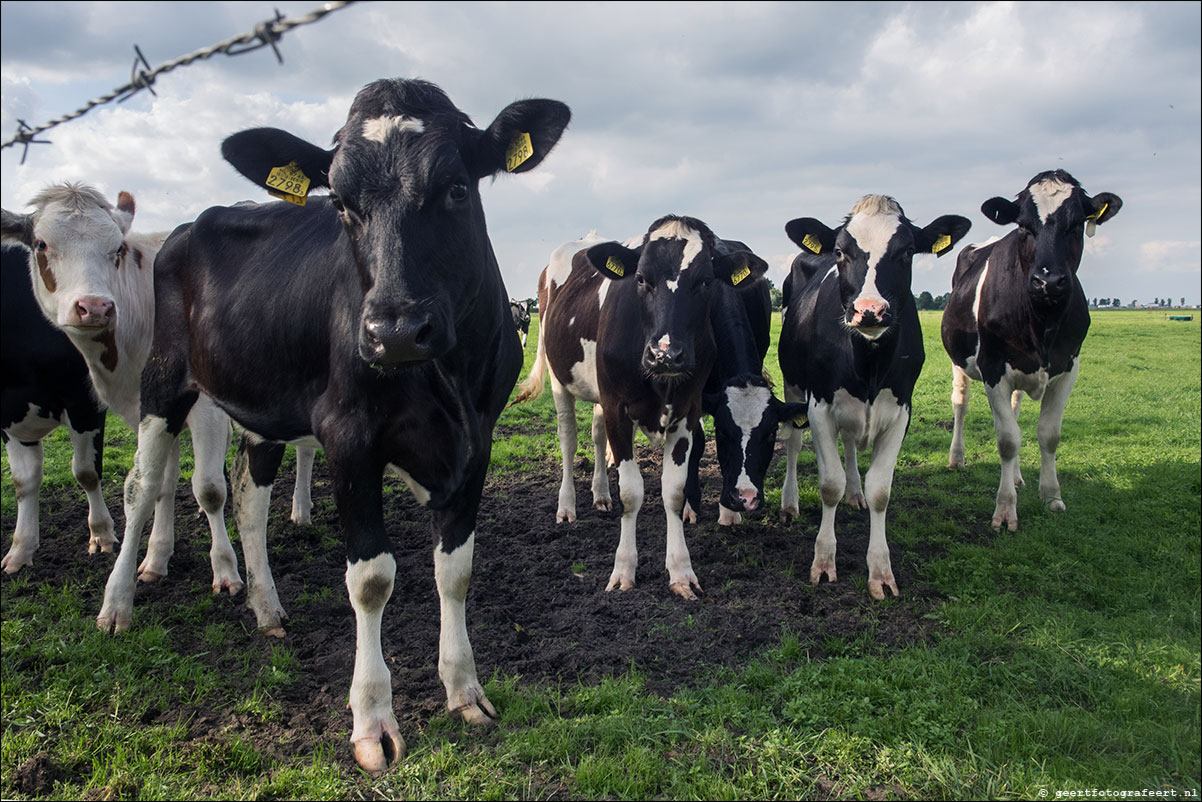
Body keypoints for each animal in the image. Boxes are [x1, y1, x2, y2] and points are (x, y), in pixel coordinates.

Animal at [2, 245, 114, 569]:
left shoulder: (84, 401)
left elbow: (86, 472)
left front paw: (101, 534)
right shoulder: (8, 415)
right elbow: (23, 481)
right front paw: (21, 548)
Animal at [96, 79, 569, 769]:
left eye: (457, 186)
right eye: (340, 202)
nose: (394, 330)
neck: (442, 379)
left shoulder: (477, 443)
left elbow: (455, 571)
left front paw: (464, 691)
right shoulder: (349, 439)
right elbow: (371, 580)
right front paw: (373, 720)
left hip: (262, 406)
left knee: (248, 499)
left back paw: (267, 608)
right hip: (163, 379)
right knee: (140, 486)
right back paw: (117, 605)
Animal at [509, 217, 774, 596]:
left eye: (706, 280)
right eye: (641, 279)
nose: (666, 354)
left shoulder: (686, 410)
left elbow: (673, 491)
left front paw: (681, 571)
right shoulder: (618, 408)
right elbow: (632, 493)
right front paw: (623, 570)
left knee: (596, 436)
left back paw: (601, 495)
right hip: (560, 379)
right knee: (568, 440)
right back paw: (567, 506)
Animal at [774, 194, 971, 596]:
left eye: (908, 251)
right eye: (840, 251)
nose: (869, 311)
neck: (868, 364)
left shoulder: (901, 411)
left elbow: (881, 489)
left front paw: (880, 571)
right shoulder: (819, 406)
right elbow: (828, 484)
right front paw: (823, 562)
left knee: (850, 443)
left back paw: (855, 493)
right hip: (793, 383)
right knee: (794, 445)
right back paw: (790, 503)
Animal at [942, 170, 1120, 533]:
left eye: (1077, 223)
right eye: (1024, 226)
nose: (1047, 281)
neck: (1042, 322)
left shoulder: (1068, 368)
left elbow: (1047, 434)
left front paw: (1051, 496)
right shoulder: (993, 368)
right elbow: (1008, 439)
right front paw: (1004, 511)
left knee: (1016, 410)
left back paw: (1017, 477)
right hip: (959, 362)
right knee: (961, 404)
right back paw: (957, 458)